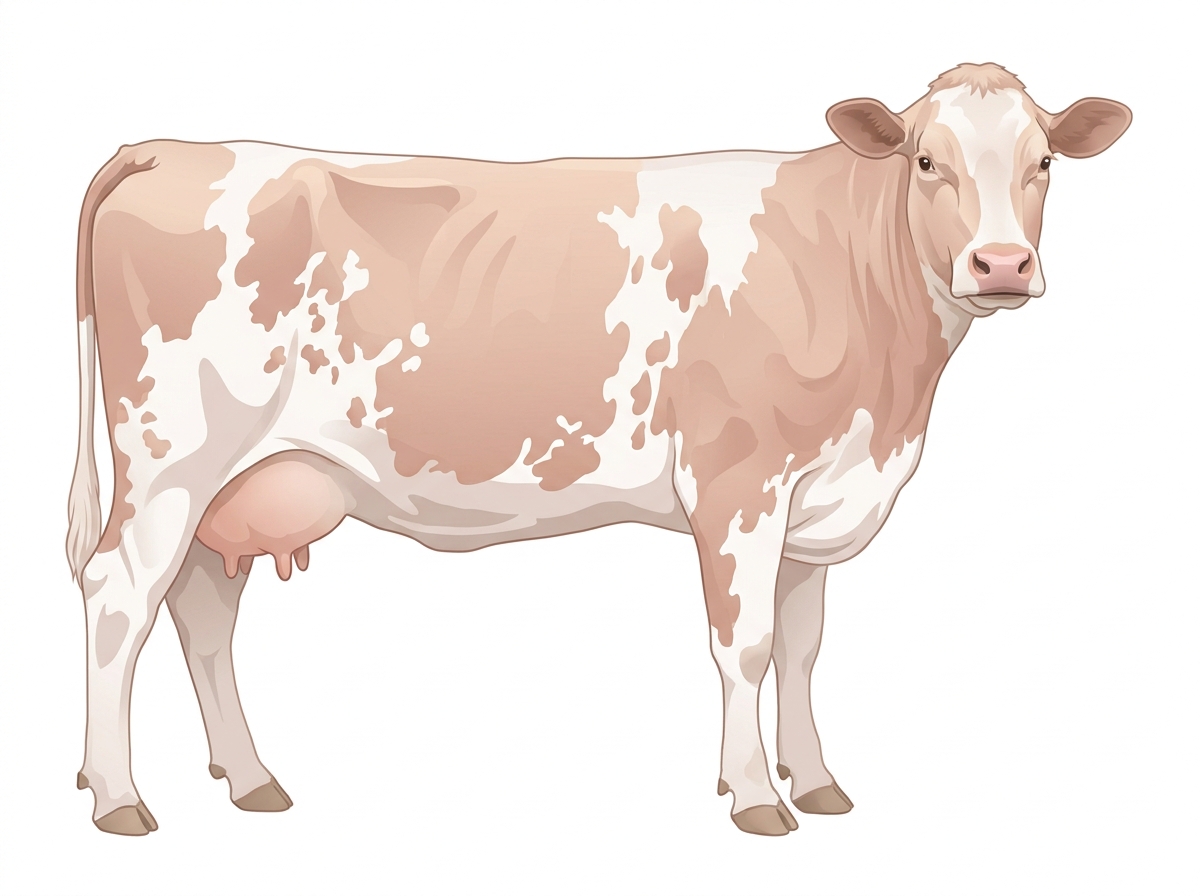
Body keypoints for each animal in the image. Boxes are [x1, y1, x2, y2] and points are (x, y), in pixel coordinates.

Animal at [66, 63, 1130, 836]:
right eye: (925, 162)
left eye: (1044, 162)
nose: (1002, 264)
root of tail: (168, 148)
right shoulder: (740, 483)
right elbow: (745, 645)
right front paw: (755, 796)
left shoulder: (816, 492)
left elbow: (803, 647)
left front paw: (818, 780)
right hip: (171, 462)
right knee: (120, 599)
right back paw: (120, 797)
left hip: (233, 487)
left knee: (203, 619)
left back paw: (250, 779)